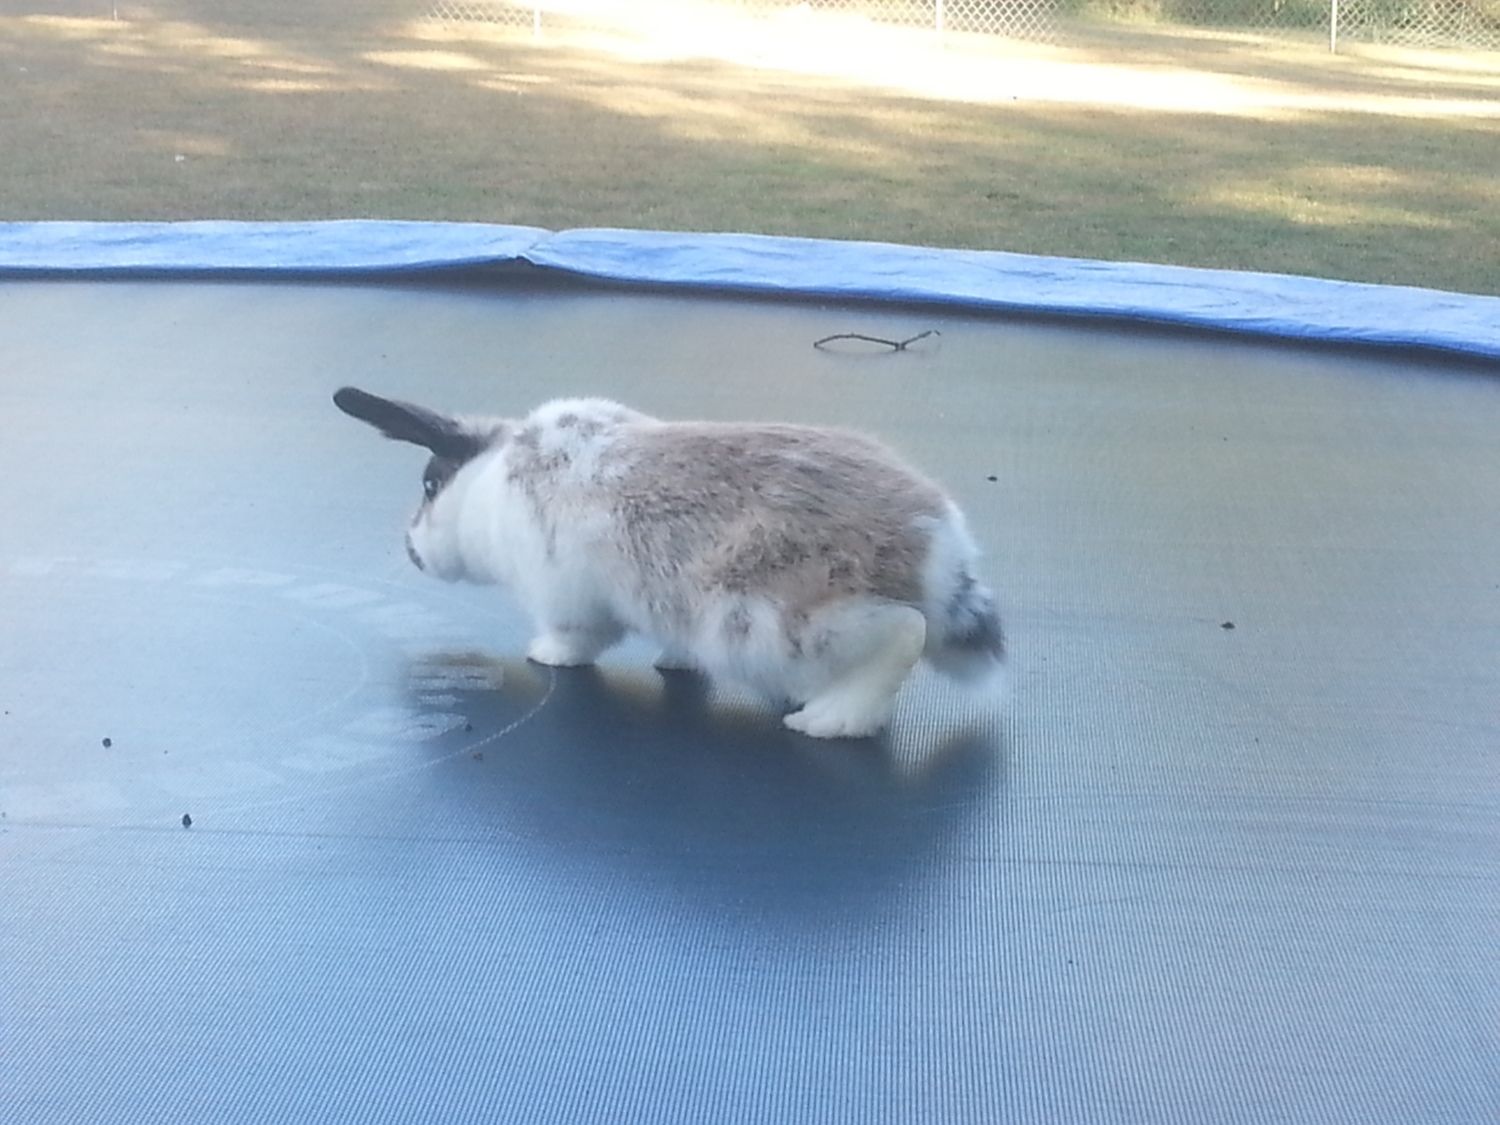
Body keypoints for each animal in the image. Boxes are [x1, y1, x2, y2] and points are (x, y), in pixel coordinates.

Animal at [333, 387, 1004, 739]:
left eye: (429, 485)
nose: (411, 549)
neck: (492, 484)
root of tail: (938, 545)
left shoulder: (565, 600)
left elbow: (575, 639)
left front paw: (545, 657)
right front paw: (671, 662)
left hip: (781, 622)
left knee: (904, 633)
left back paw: (828, 720)